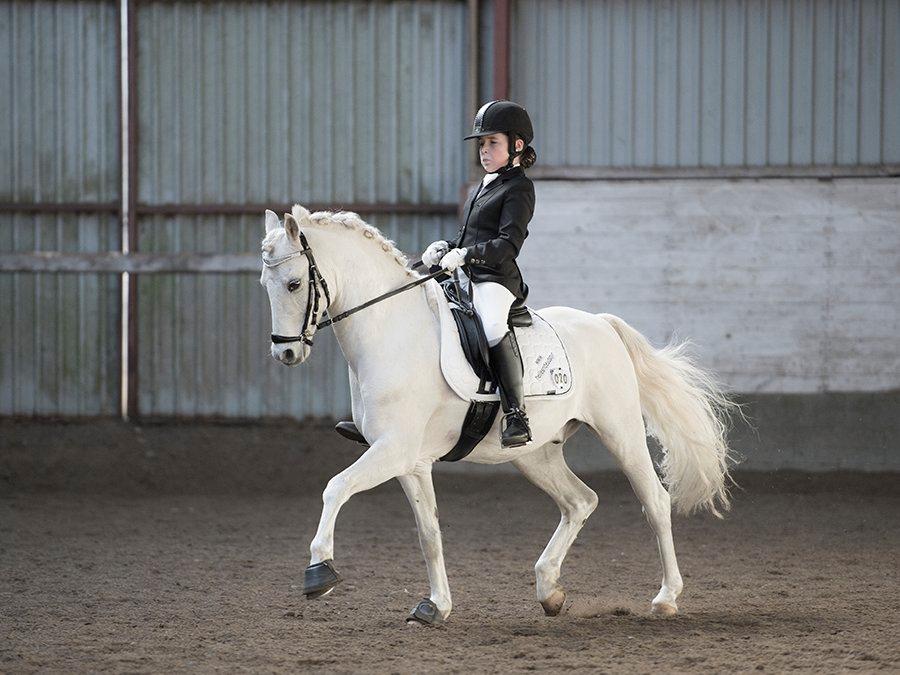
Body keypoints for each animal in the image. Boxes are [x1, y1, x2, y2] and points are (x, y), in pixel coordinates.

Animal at [259, 204, 736, 626]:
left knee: (654, 501)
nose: (285, 354)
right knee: (580, 501)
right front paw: (435, 607)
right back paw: (549, 591)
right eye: (266, 283)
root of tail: (601, 323)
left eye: (294, 284)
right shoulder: (410, 461)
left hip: (621, 433)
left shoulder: (393, 450)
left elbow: (335, 488)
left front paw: (320, 572)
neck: (394, 333)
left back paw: (666, 598)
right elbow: (429, 533)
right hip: (536, 453)